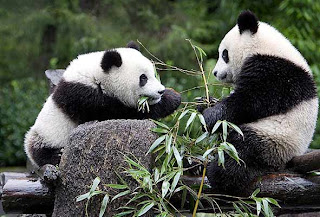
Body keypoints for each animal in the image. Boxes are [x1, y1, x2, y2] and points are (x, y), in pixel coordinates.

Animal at [23, 42, 181, 168]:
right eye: (143, 78)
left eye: (154, 74)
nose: (160, 91)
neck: (97, 75)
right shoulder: (85, 98)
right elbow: (122, 113)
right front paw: (172, 99)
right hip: (46, 136)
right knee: (44, 153)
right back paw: (57, 155)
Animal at [201, 10, 318, 195]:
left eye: (224, 54)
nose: (215, 73)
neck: (264, 47)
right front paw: (204, 103)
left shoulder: (276, 74)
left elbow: (249, 102)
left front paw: (209, 116)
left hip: (274, 140)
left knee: (241, 151)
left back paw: (218, 175)